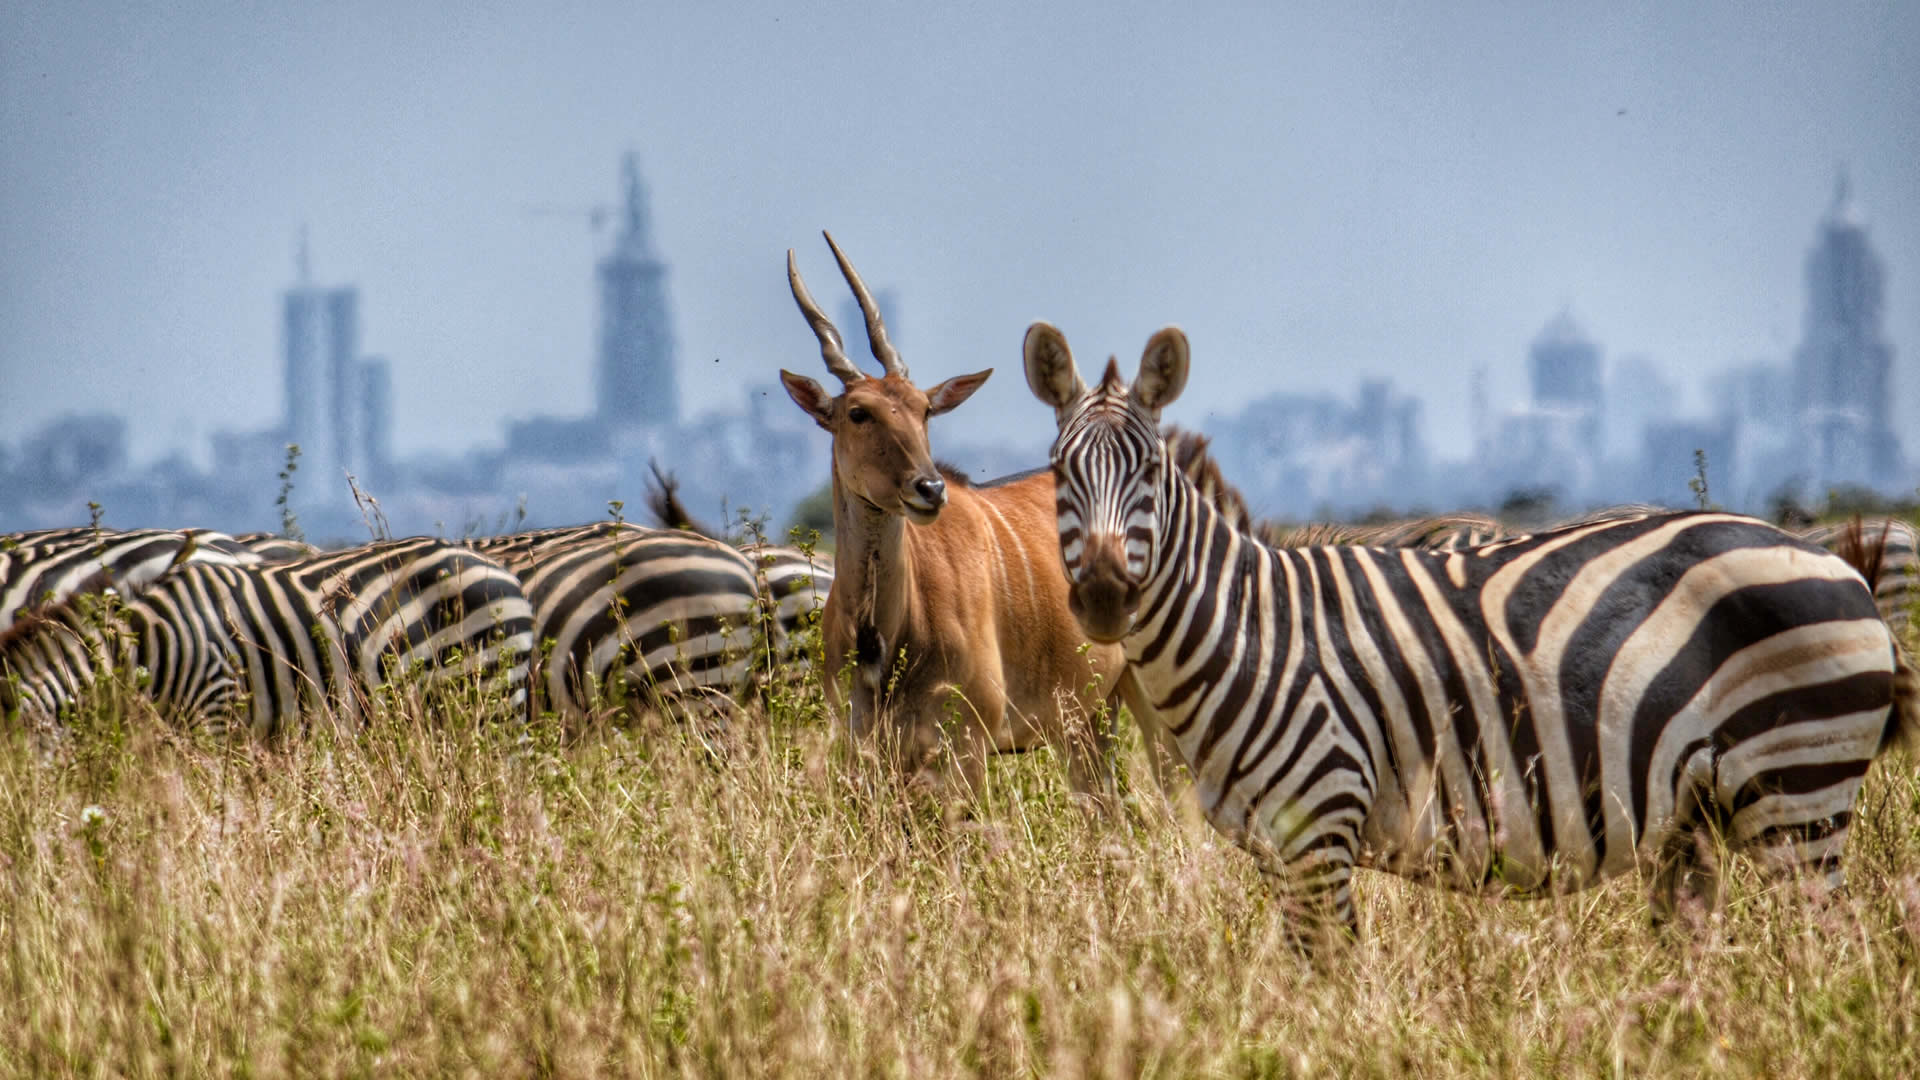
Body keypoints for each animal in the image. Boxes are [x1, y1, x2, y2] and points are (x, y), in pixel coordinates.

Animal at [1029, 320, 1912, 941]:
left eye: (1149, 472)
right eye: (1060, 472)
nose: (1103, 596)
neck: (1249, 629)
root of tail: (1836, 562)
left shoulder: (1320, 826)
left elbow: (1326, 983)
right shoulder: (1281, 846)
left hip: (1798, 786)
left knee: (1827, 953)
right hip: (1703, 814)